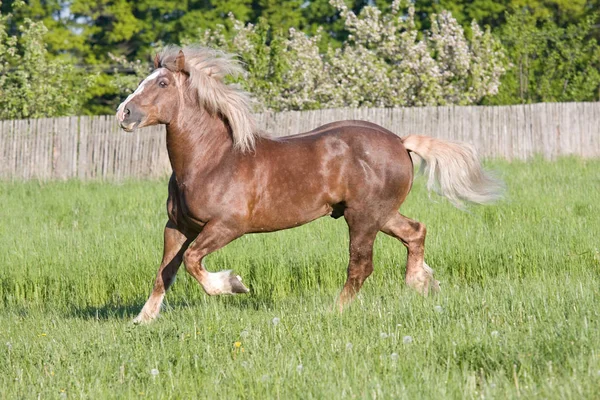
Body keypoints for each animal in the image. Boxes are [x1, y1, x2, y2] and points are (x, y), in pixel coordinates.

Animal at [116, 45, 502, 324]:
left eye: (162, 84)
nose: (124, 113)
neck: (212, 161)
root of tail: (399, 141)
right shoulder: (177, 226)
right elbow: (165, 272)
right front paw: (142, 320)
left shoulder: (227, 226)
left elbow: (194, 262)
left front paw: (235, 285)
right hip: (381, 213)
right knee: (415, 232)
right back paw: (421, 282)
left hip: (363, 217)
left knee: (360, 266)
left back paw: (336, 311)